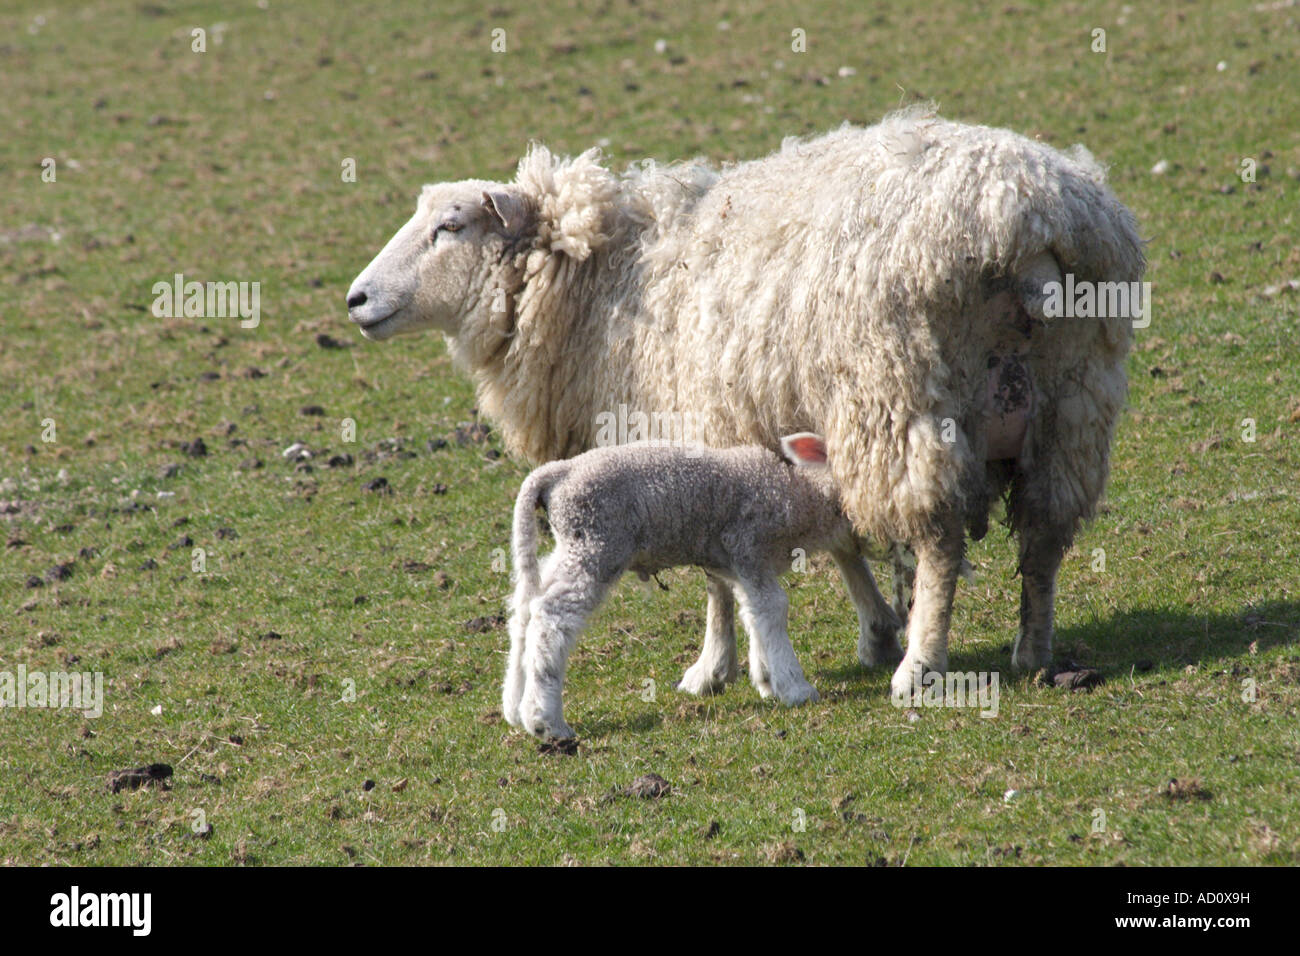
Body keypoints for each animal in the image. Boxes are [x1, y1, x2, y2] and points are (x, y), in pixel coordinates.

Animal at [348, 108, 1149, 702]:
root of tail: (1026, 214)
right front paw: (872, 627)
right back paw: (1032, 650)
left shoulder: (704, 435)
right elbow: (843, 537)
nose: (356, 299)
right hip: (1071, 406)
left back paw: (920, 667)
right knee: (1043, 540)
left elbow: (716, 575)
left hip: (902, 402)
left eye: (450, 226)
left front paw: (717, 667)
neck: (605, 283)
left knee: (941, 543)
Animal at [501, 434, 847, 738]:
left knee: (525, 610)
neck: (796, 491)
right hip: (595, 544)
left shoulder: (738, 566)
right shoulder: (748, 545)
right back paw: (545, 721)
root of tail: (557, 472)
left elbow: (753, 614)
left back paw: (515, 707)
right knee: (551, 616)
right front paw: (795, 688)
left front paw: (765, 679)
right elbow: (773, 608)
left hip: (572, 547)